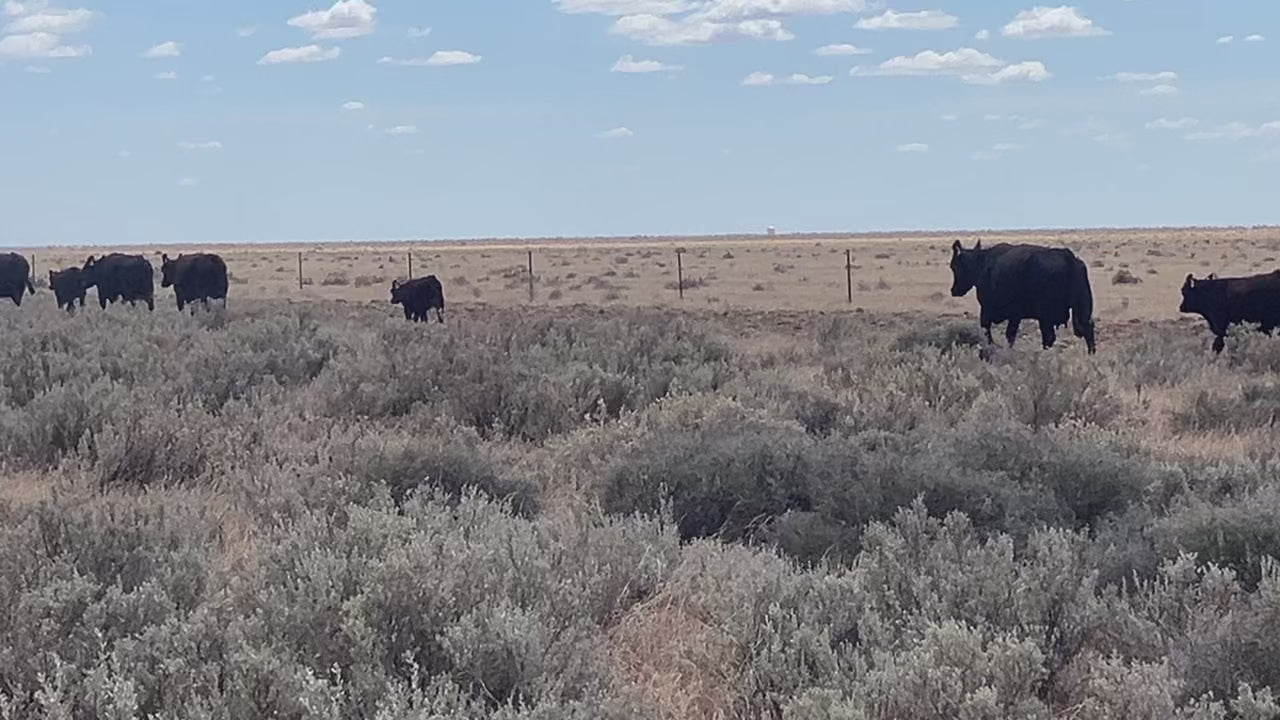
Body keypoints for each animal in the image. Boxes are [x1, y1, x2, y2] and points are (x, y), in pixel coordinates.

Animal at [949, 240, 1097, 354]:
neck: (982, 263)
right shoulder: (1015, 315)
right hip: (1081, 309)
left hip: (1046, 315)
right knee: (1087, 329)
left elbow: (992, 331)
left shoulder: (988, 310)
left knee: (1049, 337)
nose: (953, 290)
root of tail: (1068, 258)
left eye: (954, 267)